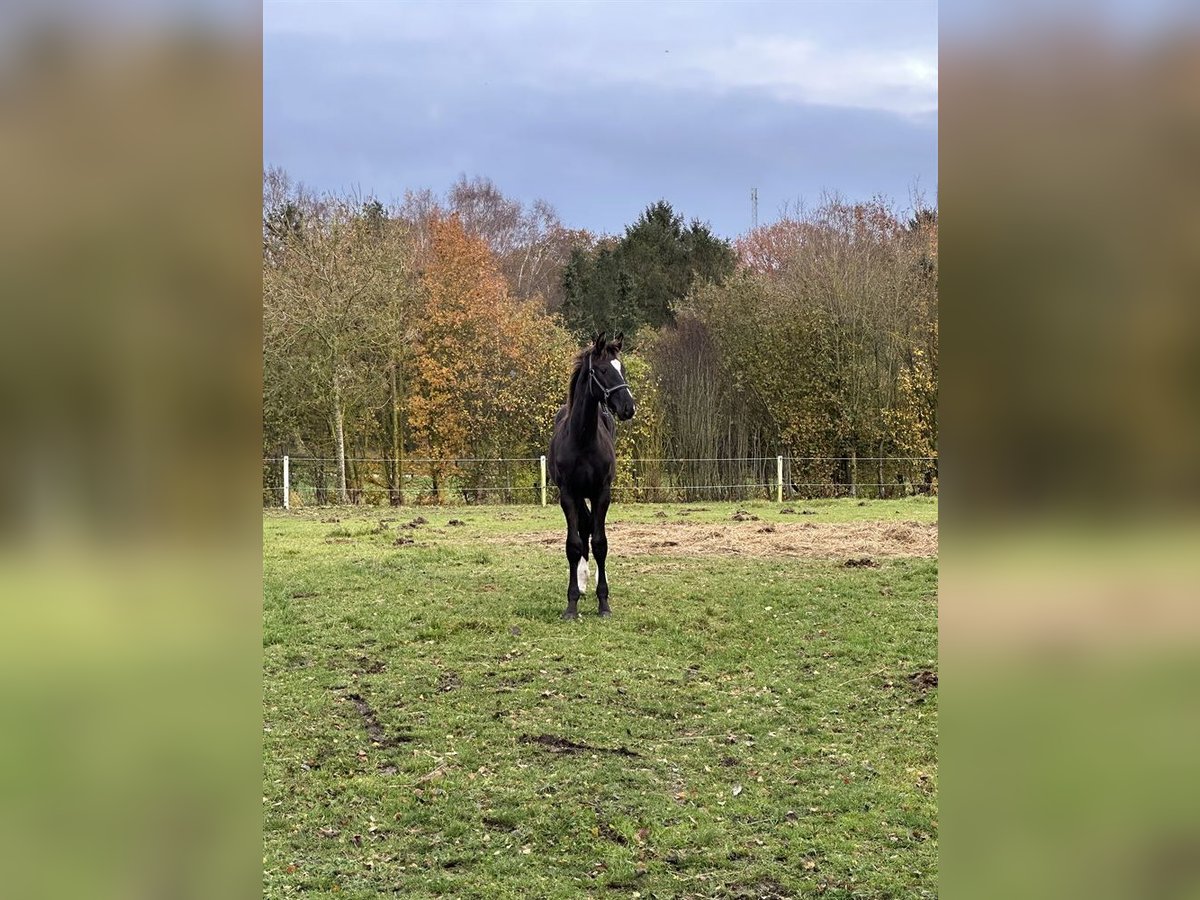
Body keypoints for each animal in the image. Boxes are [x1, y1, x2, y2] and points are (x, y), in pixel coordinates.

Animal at [547, 331, 633, 619]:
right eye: (603, 370)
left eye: (622, 368)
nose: (629, 407)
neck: (583, 439)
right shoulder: (568, 494)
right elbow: (573, 545)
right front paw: (571, 604)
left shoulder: (601, 492)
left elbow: (601, 543)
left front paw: (604, 602)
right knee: (583, 528)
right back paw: (583, 583)